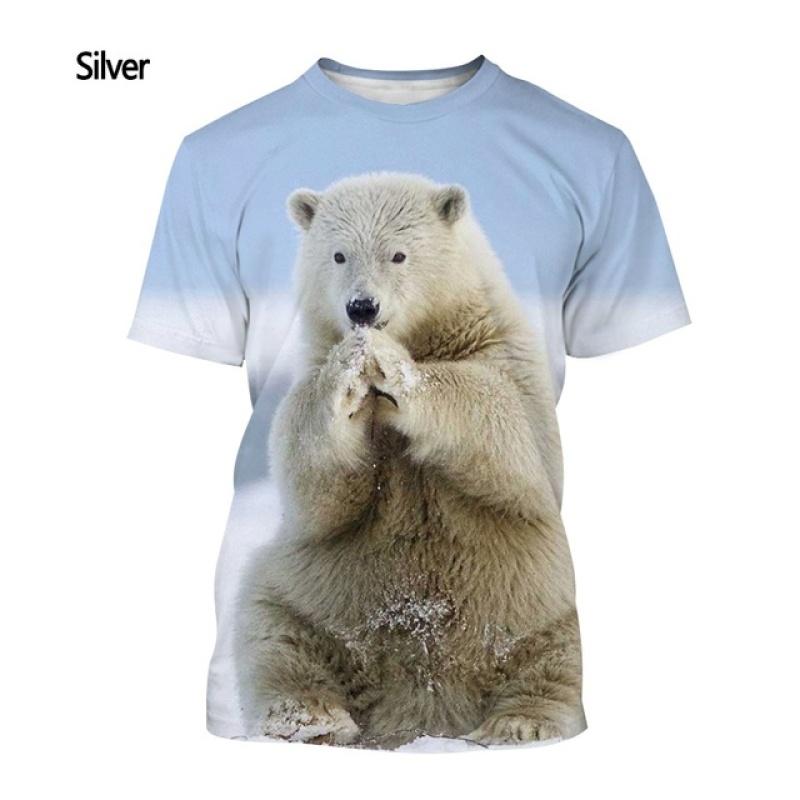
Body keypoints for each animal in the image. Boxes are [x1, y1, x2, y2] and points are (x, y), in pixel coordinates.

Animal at [233, 172, 586, 749]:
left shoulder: (502, 353)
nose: (362, 308)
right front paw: (349, 370)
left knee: (552, 656)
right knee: (274, 631)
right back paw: (311, 718)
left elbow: (509, 430)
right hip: (312, 591)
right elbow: (315, 482)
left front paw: (393, 367)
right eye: (338, 254)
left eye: (398, 254)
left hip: (534, 601)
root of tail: (420, 709)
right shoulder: (312, 372)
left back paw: (519, 722)